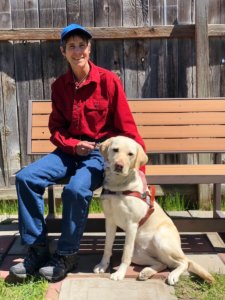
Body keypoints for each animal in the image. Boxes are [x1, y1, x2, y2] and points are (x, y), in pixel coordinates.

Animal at [93, 137, 214, 284]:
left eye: (130, 154)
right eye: (115, 150)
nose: (119, 166)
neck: (118, 187)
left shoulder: (132, 224)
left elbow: (125, 254)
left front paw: (120, 273)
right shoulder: (110, 221)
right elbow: (107, 247)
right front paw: (102, 265)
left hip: (161, 240)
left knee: (184, 262)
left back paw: (173, 275)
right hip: (138, 254)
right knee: (163, 263)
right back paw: (146, 272)